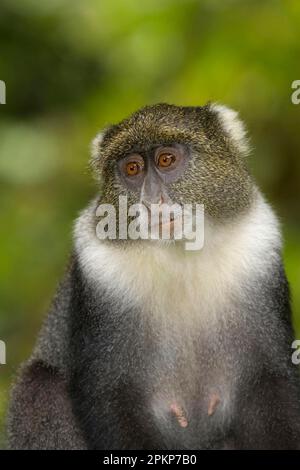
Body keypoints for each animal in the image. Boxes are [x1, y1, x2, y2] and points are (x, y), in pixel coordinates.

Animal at [5, 104, 300, 450]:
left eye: (166, 160)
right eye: (132, 169)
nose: (151, 201)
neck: (181, 255)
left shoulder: (257, 253)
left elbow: (272, 382)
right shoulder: (100, 271)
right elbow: (111, 397)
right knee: (39, 386)